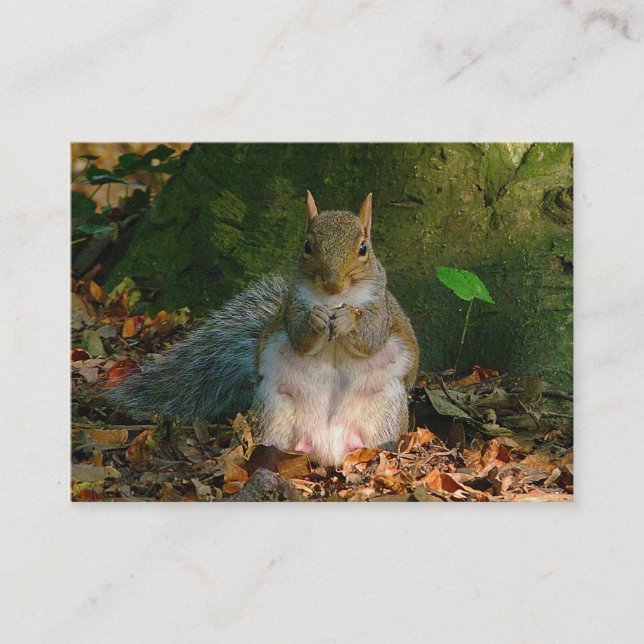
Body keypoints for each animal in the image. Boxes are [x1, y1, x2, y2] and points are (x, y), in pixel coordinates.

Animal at [110, 192, 419, 466]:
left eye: (363, 248)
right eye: (307, 246)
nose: (332, 283)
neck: (333, 299)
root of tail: (327, 448)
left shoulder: (381, 309)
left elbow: (372, 337)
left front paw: (347, 320)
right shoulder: (293, 306)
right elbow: (300, 337)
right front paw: (316, 319)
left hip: (386, 409)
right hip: (274, 407)